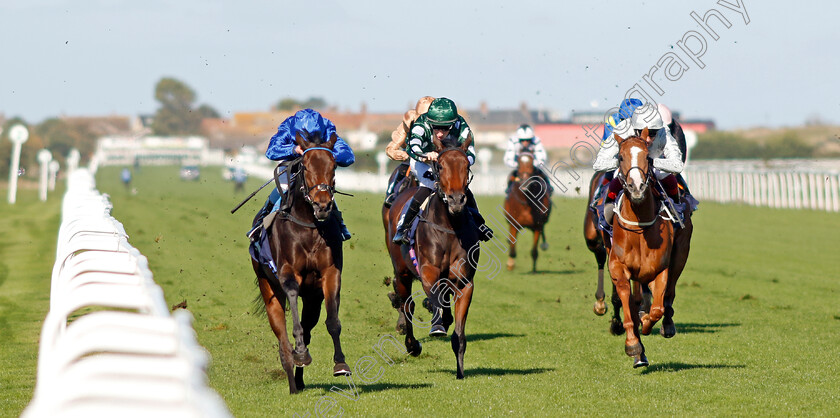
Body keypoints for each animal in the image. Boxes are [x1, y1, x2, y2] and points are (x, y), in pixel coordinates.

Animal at [253, 132, 352, 394]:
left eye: (333, 165)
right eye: (305, 166)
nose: (322, 205)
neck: (309, 225)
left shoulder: (330, 273)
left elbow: (333, 322)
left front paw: (340, 364)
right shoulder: (288, 273)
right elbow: (294, 317)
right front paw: (300, 354)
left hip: (313, 299)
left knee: (308, 328)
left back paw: (298, 377)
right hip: (268, 289)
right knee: (282, 337)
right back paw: (292, 376)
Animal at [384, 136, 476, 378]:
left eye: (466, 165)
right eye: (441, 165)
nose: (456, 200)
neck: (450, 228)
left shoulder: (464, 283)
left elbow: (459, 332)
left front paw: (460, 371)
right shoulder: (427, 272)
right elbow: (433, 300)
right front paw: (437, 325)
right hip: (403, 271)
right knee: (407, 305)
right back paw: (412, 344)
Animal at [608, 129, 692, 368]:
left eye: (647, 157)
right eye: (620, 157)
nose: (636, 187)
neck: (640, 227)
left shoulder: (659, 269)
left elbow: (656, 309)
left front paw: (647, 322)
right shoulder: (618, 267)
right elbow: (628, 308)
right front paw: (633, 346)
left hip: (681, 254)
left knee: (669, 293)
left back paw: (667, 325)